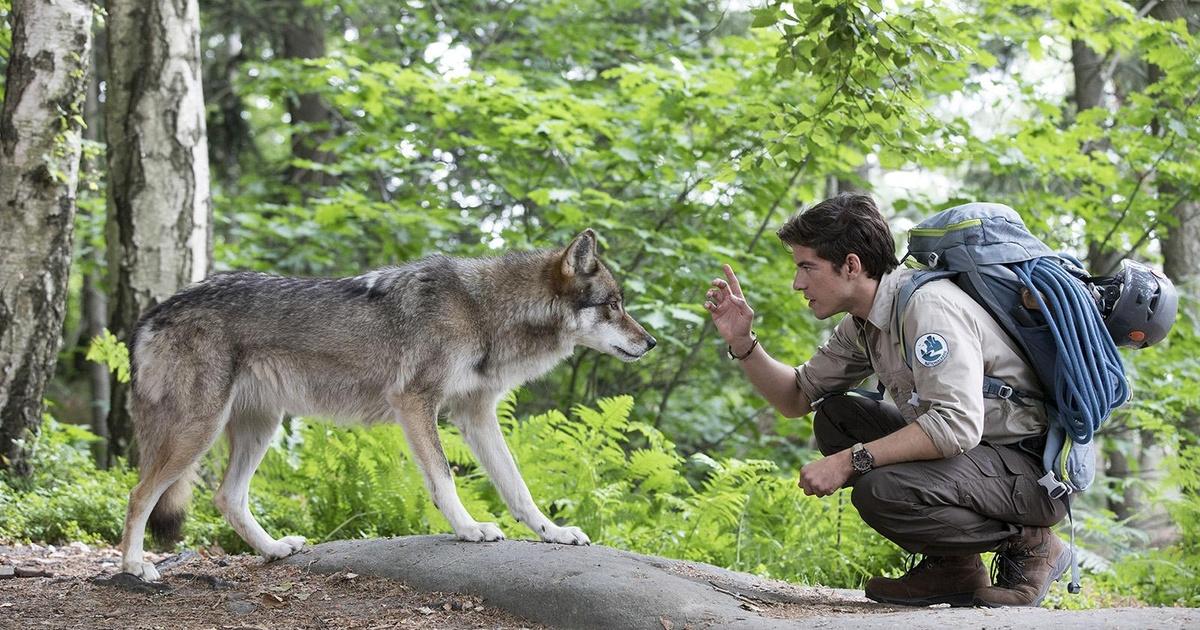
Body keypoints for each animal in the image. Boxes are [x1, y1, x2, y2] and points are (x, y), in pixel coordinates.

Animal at [119, 229, 656, 580]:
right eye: (614, 305)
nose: (650, 342)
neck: (486, 311)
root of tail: (154, 312)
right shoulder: (416, 404)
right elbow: (443, 479)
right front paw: (469, 529)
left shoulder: (475, 415)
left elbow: (518, 487)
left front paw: (554, 533)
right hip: (199, 430)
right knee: (140, 495)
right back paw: (135, 567)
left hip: (259, 428)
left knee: (227, 498)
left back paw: (273, 550)